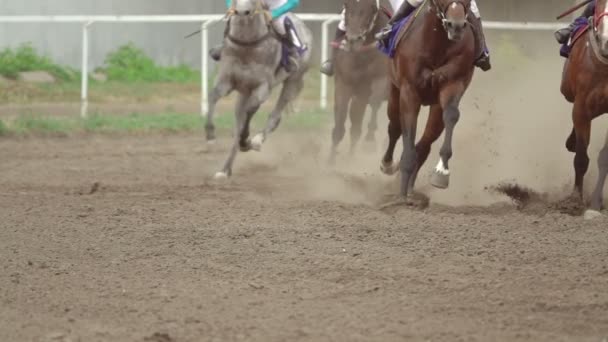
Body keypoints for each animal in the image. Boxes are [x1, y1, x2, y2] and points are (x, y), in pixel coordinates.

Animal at [205, 0, 312, 180]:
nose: (242, 12)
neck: (246, 46)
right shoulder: (226, 80)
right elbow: (212, 96)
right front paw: (210, 135)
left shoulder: (262, 87)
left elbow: (250, 112)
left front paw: (247, 141)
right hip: (243, 93)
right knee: (238, 126)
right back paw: (225, 170)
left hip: (293, 81)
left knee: (274, 116)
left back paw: (256, 140)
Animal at [328, 0, 390, 164]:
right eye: (346, 5)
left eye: (370, 7)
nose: (352, 40)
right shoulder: (344, 83)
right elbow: (341, 120)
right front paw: (330, 162)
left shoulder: (382, 79)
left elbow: (375, 102)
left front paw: (370, 141)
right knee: (355, 127)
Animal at [382, 0, 478, 203]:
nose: (456, 26)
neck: (437, 43)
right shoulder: (409, 91)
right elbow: (406, 133)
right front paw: (401, 197)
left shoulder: (452, 84)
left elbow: (451, 115)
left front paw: (442, 172)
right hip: (394, 91)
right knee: (394, 127)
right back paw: (388, 165)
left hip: (434, 106)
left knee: (425, 144)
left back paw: (411, 186)